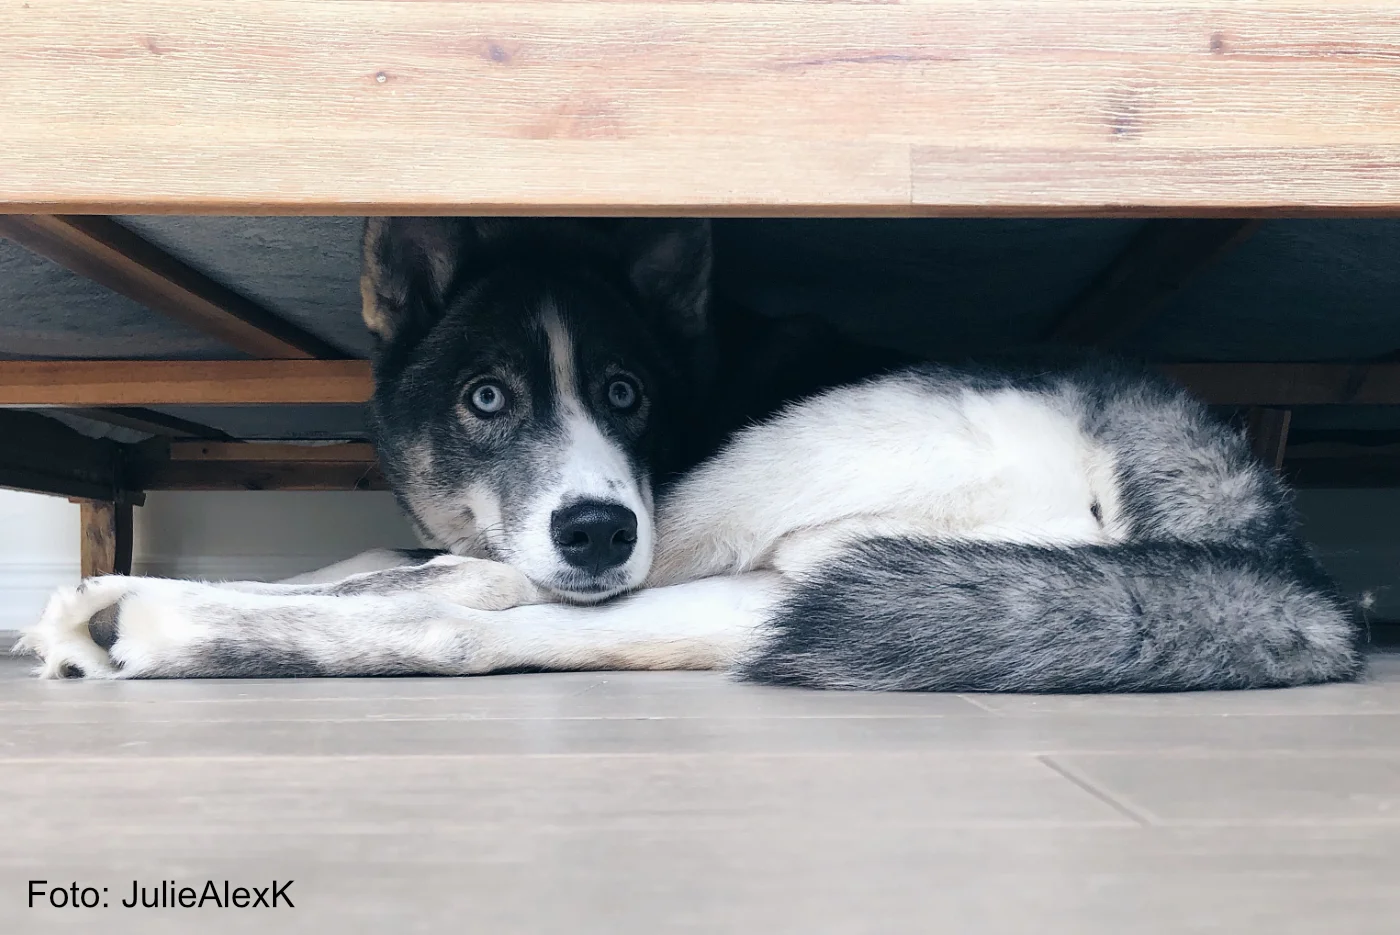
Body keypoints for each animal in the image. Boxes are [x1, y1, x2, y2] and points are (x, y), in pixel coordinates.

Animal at [16, 216, 1360, 685]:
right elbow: (363, 557)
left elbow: (434, 577)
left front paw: (114, 603)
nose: (594, 528)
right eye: (486, 396)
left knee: (471, 617)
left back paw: (149, 621)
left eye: (624, 391)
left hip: (756, 491)